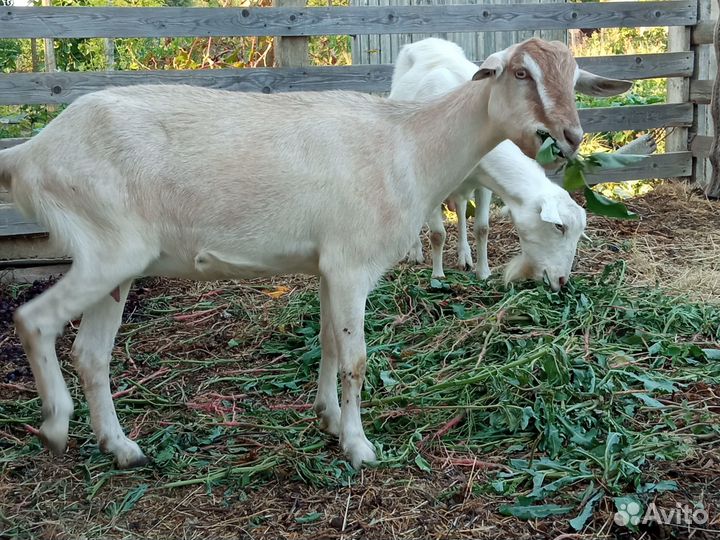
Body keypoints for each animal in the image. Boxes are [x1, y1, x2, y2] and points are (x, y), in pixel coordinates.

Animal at [390, 38, 631, 281]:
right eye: (558, 226)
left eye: (574, 84)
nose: (562, 280)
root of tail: (429, 41)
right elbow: (437, 234)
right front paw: (437, 277)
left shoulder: (483, 181)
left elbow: (482, 228)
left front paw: (484, 273)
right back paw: (416, 253)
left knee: (460, 209)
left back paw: (464, 255)